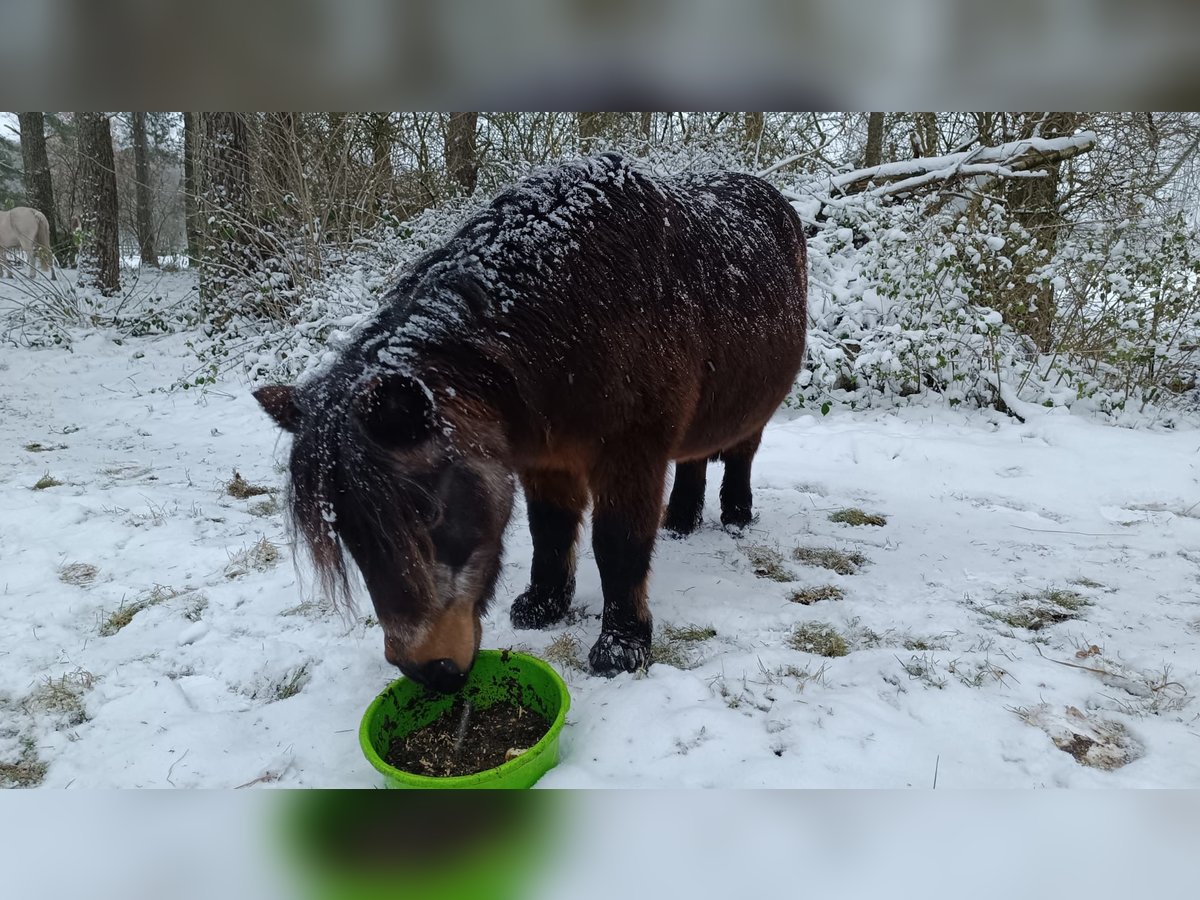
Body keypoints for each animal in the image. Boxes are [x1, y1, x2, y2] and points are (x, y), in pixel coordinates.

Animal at [253, 154, 806, 696]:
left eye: (427, 510)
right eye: (344, 526)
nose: (426, 670)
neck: (580, 313)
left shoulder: (630, 455)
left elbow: (618, 543)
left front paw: (621, 647)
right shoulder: (547, 459)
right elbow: (551, 530)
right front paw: (543, 606)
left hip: (753, 410)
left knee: (739, 454)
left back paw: (735, 515)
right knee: (694, 458)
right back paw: (680, 520)